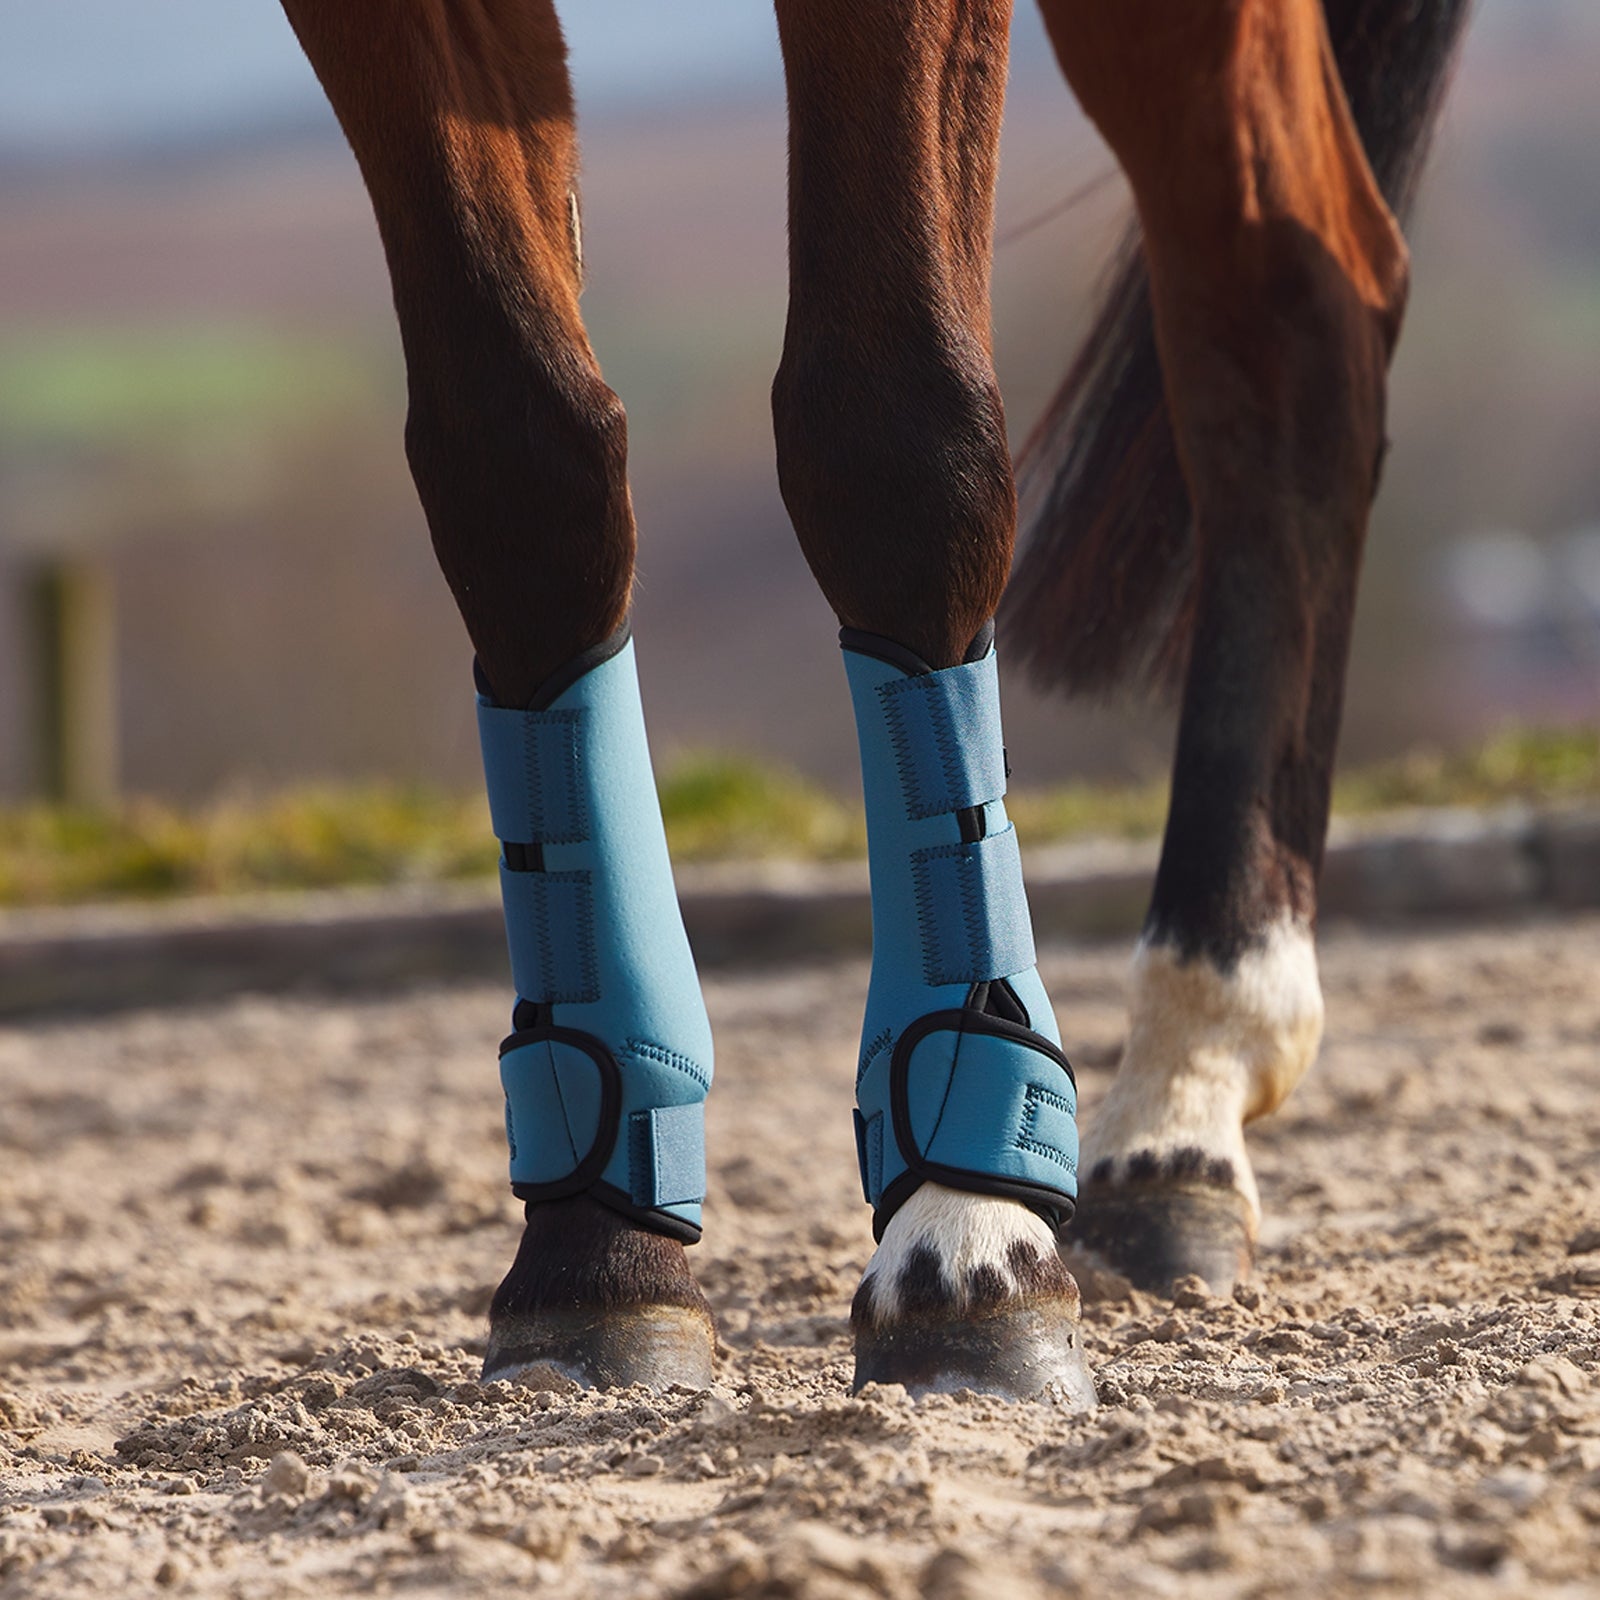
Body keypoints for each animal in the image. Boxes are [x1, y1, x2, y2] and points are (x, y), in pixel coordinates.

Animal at [277, 0, 1471, 1404]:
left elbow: (894, 437)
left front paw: (965, 1235)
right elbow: (519, 471)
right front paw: (593, 1248)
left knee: (1288, 307)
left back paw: (1195, 1070)